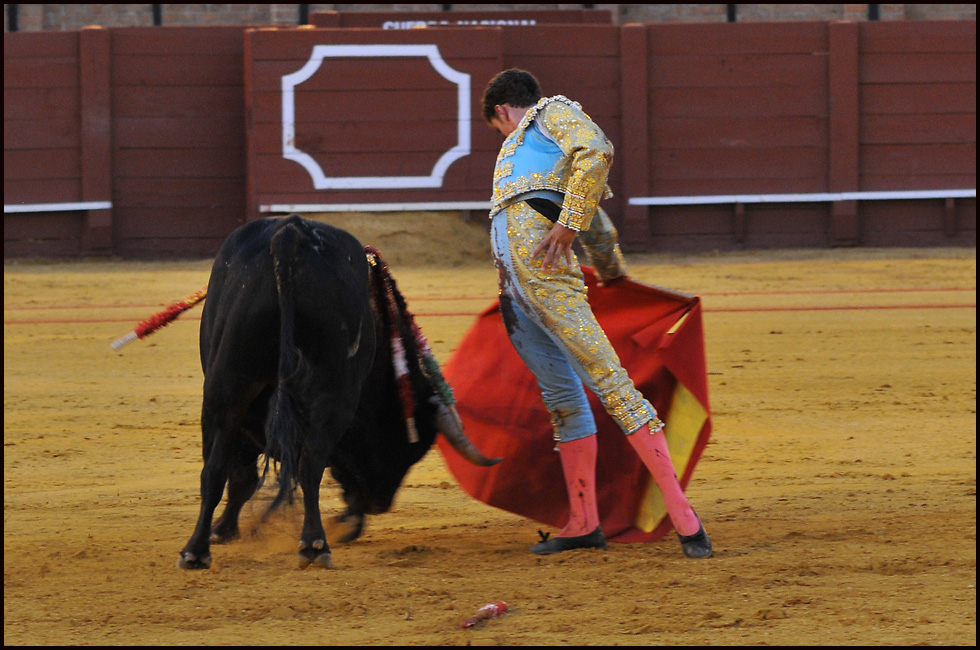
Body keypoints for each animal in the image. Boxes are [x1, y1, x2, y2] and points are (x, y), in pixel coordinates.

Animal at [176, 214, 498, 568]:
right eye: (411, 451)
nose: (378, 503)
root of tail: (293, 233)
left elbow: (242, 475)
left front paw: (223, 530)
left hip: (233, 383)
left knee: (221, 467)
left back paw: (201, 550)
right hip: (311, 391)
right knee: (297, 464)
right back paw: (310, 543)